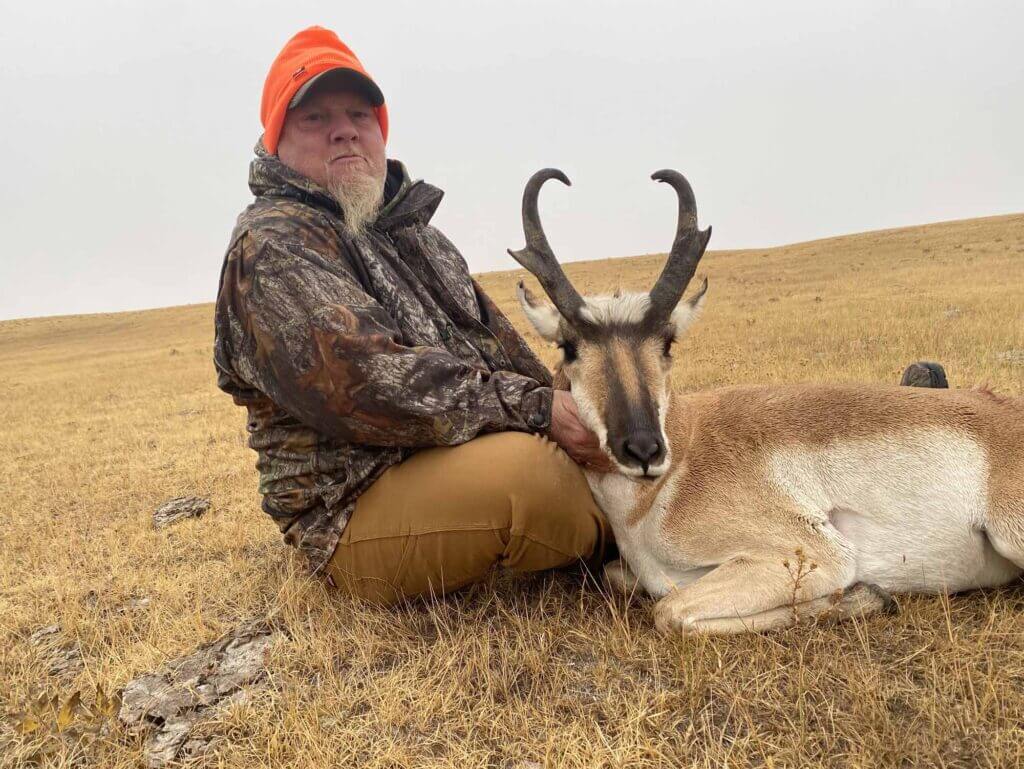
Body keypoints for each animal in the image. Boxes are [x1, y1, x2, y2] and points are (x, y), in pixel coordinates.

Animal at [509, 168, 1024, 635]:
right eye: (568, 346)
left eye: (669, 340)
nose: (643, 449)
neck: (684, 452)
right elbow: (630, 582)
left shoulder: (816, 554)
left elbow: (670, 612)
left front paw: (866, 595)